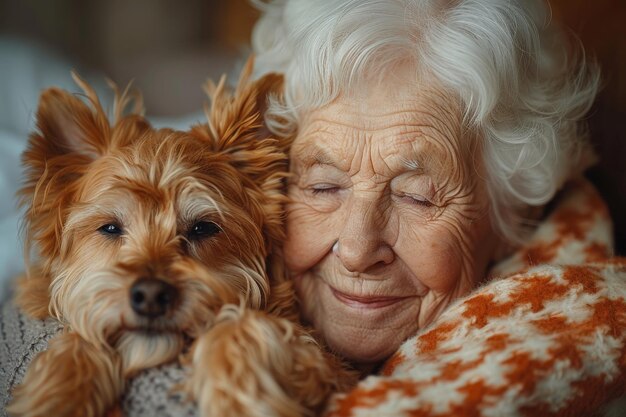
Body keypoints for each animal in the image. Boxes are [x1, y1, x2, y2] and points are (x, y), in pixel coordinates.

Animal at [8, 59, 352, 416]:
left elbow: (238, 325)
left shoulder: (330, 366)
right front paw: (57, 394)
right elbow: (80, 337)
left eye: (202, 228)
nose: (150, 296)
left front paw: (241, 400)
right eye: (111, 228)